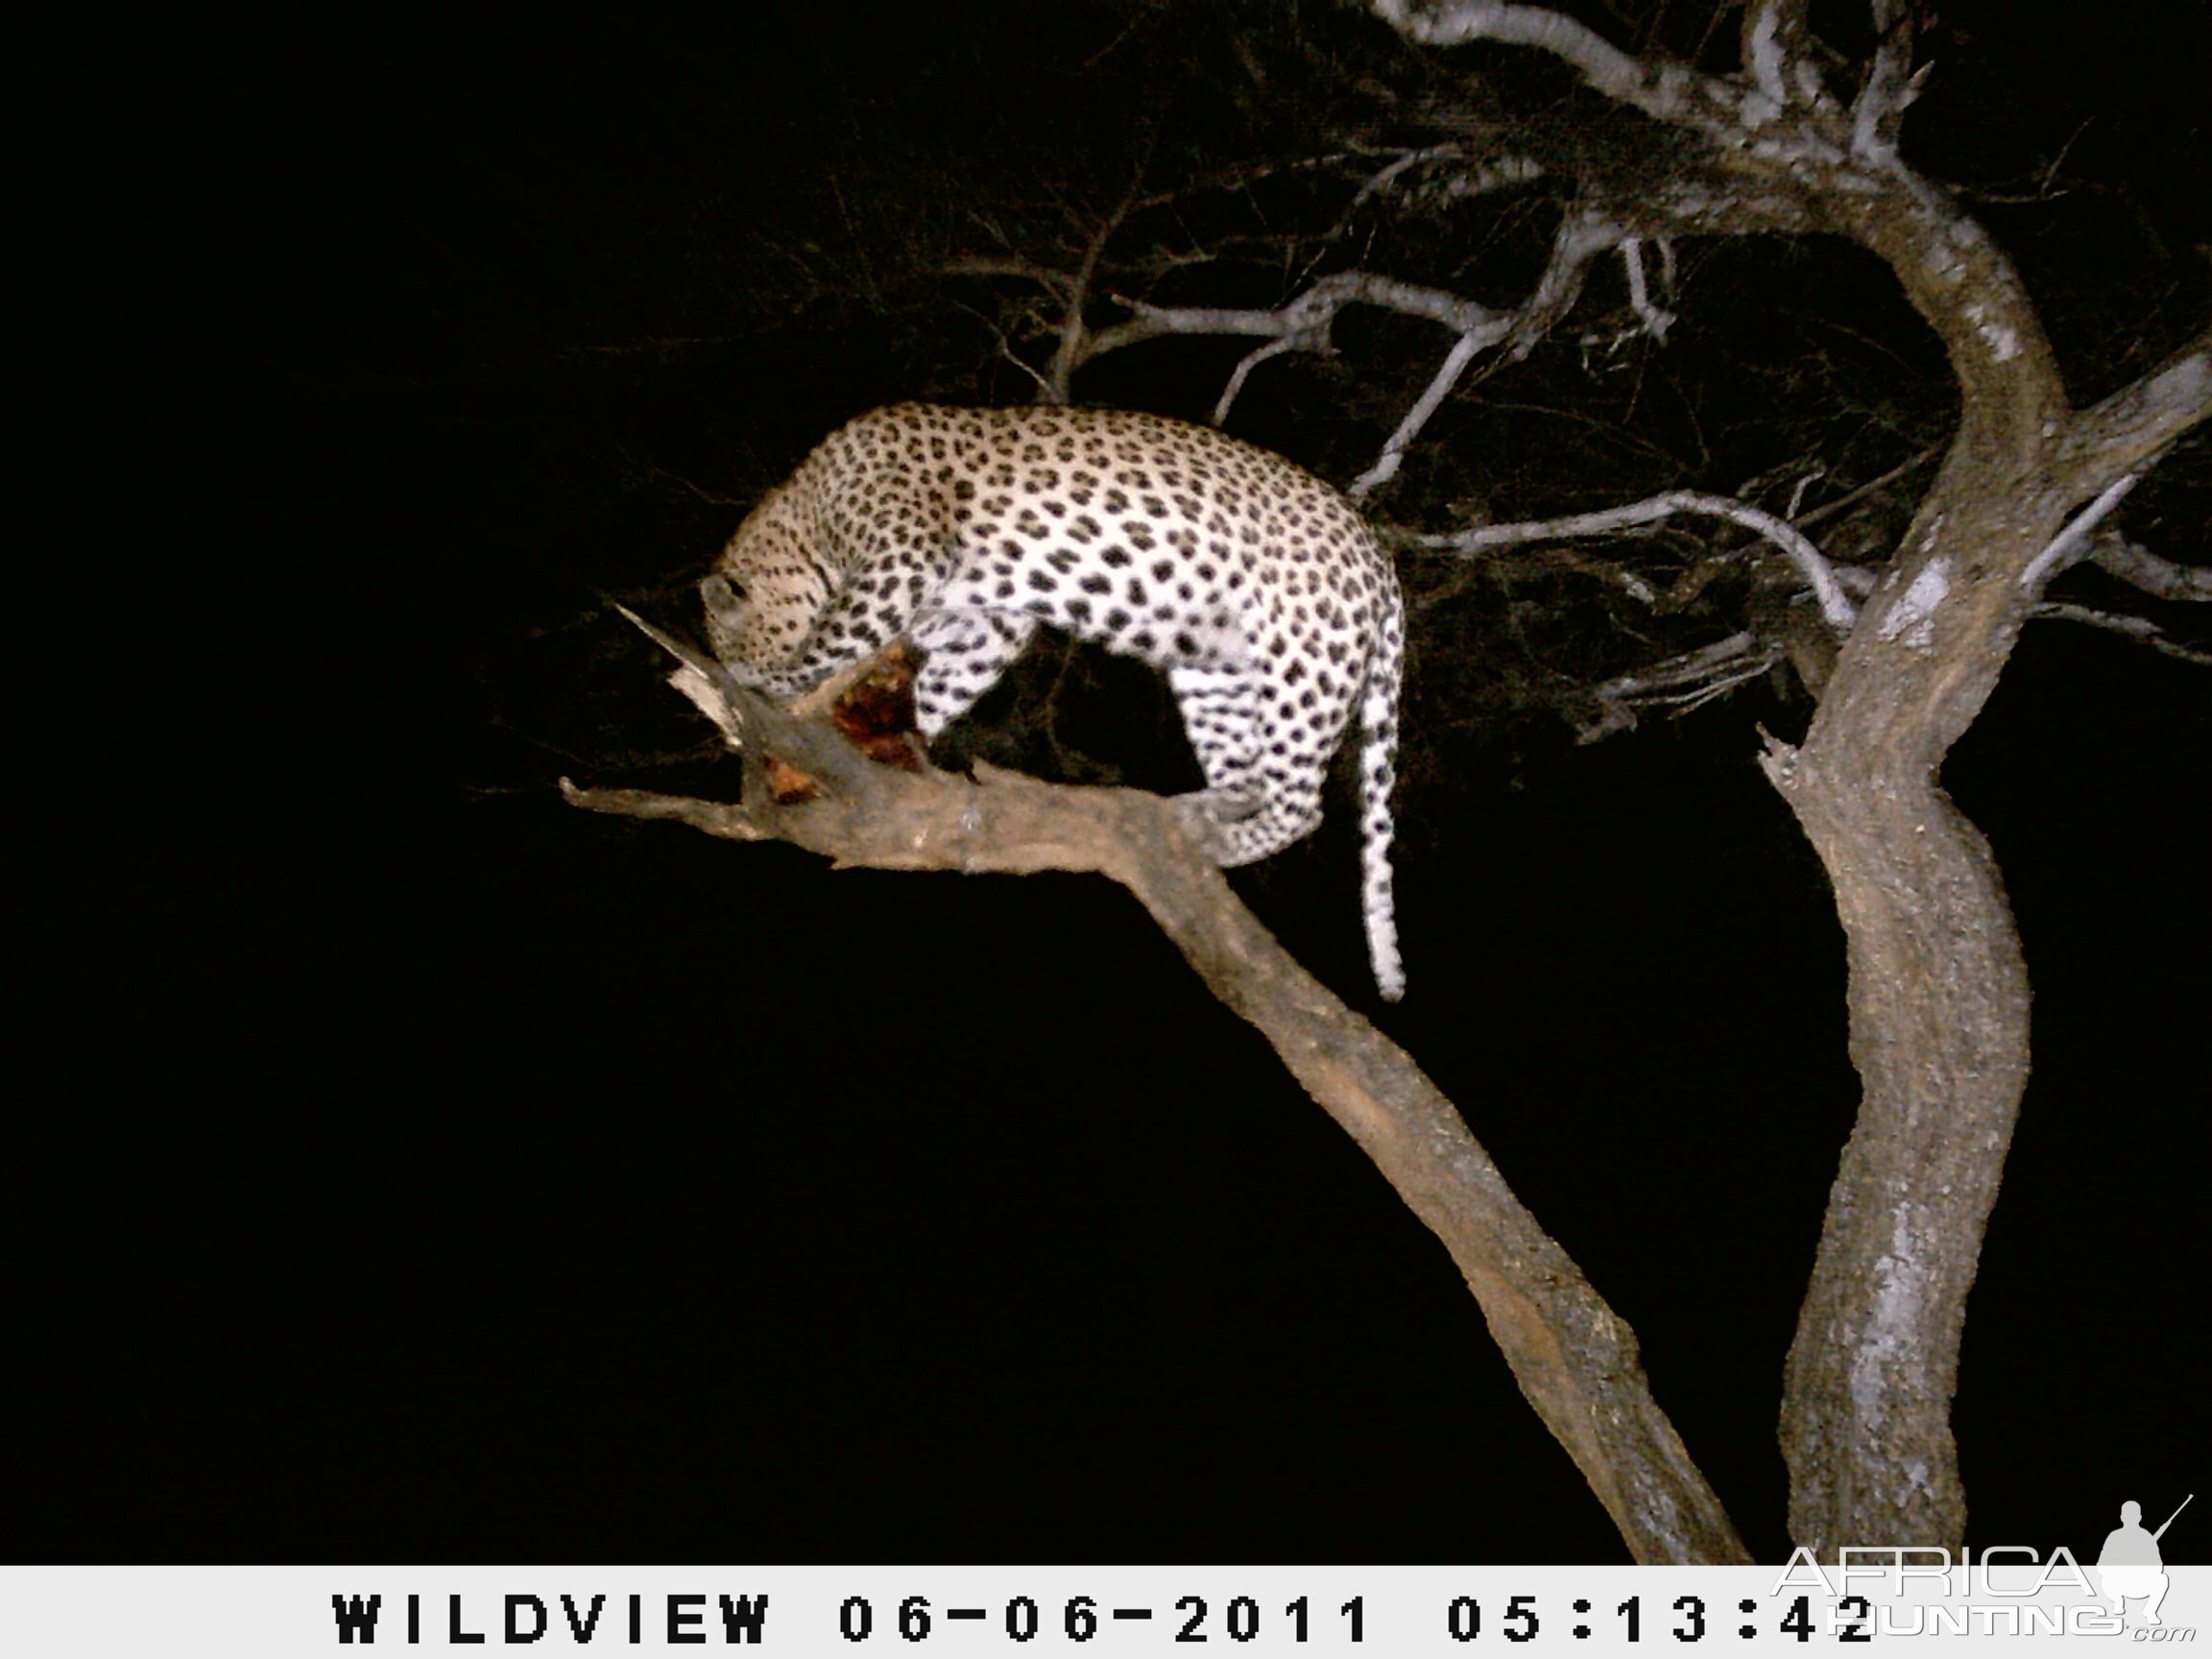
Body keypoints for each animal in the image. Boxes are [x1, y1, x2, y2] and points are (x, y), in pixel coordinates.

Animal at [699, 406, 1407, 999]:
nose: (742, 687)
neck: (808, 511)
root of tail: (1376, 550)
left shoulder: (899, 561)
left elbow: (830, 641)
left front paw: (781, 697)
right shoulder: (987, 621)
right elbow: (936, 681)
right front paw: (888, 737)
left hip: (1303, 659)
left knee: (1302, 804)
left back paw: (1218, 841)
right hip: (1214, 668)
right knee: (1251, 777)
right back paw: (1190, 813)